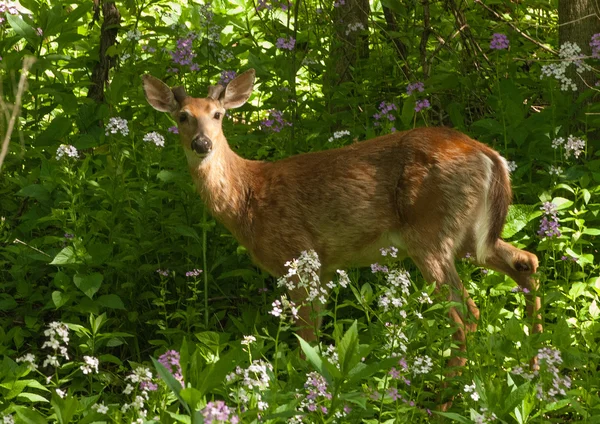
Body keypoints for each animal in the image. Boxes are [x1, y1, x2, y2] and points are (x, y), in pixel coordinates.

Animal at [142, 69, 544, 374]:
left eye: (218, 114)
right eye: (182, 116)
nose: (202, 144)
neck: (248, 197)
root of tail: (489, 155)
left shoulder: (296, 254)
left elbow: (306, 337)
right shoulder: (323, 267)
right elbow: (316, 336)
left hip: (430, 233)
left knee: (465, 315)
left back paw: (443, 400)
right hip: (469, 236)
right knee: (526, 261)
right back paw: (534, 366)